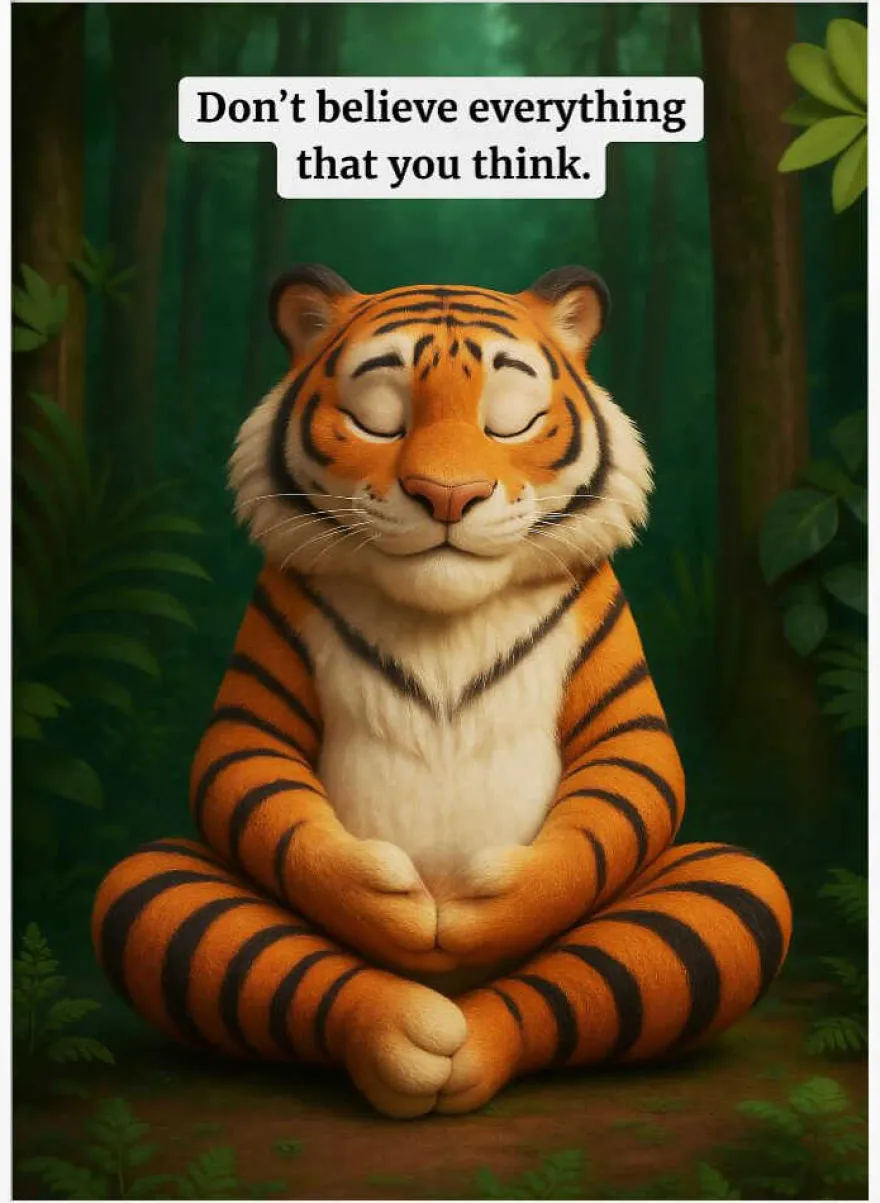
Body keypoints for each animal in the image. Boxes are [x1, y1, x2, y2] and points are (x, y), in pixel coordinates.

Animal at [93, 264, 792, 1119]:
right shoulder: (264, 661)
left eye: (509, 419)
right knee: (180, 903)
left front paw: (479, 907)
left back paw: (468, 1047)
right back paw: (401, 1031)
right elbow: (248, 780)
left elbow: (629, 790)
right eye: (379, 417)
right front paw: (393, 906)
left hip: (727, 889)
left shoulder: (616, 675)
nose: (448, 495)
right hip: (152, 888)